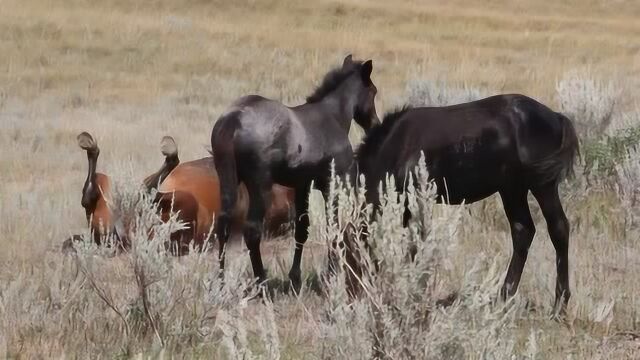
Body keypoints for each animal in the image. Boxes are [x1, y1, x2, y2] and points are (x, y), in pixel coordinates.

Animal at [210, 54, 380, 292]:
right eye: (373, 91)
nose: (375, 124)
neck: (332, 117)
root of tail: (233, 120)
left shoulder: (302, 186)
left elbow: (302, 228)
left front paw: (295, 277)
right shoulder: (332, 185)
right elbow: (333, 227)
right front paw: (332, 272)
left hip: (227, 179)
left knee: (223, 224)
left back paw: (221, 281)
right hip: (260, 186)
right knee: (252, 231)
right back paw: (262, 283)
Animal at [356, 93, 580, 316]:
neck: (398, 147)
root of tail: (556, 117)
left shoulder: (416, 200)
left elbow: (416, 243)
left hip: (542, 185)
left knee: (558, 229)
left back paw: (559, 305)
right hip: (512, 189)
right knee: (523, 230)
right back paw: (503, 298)